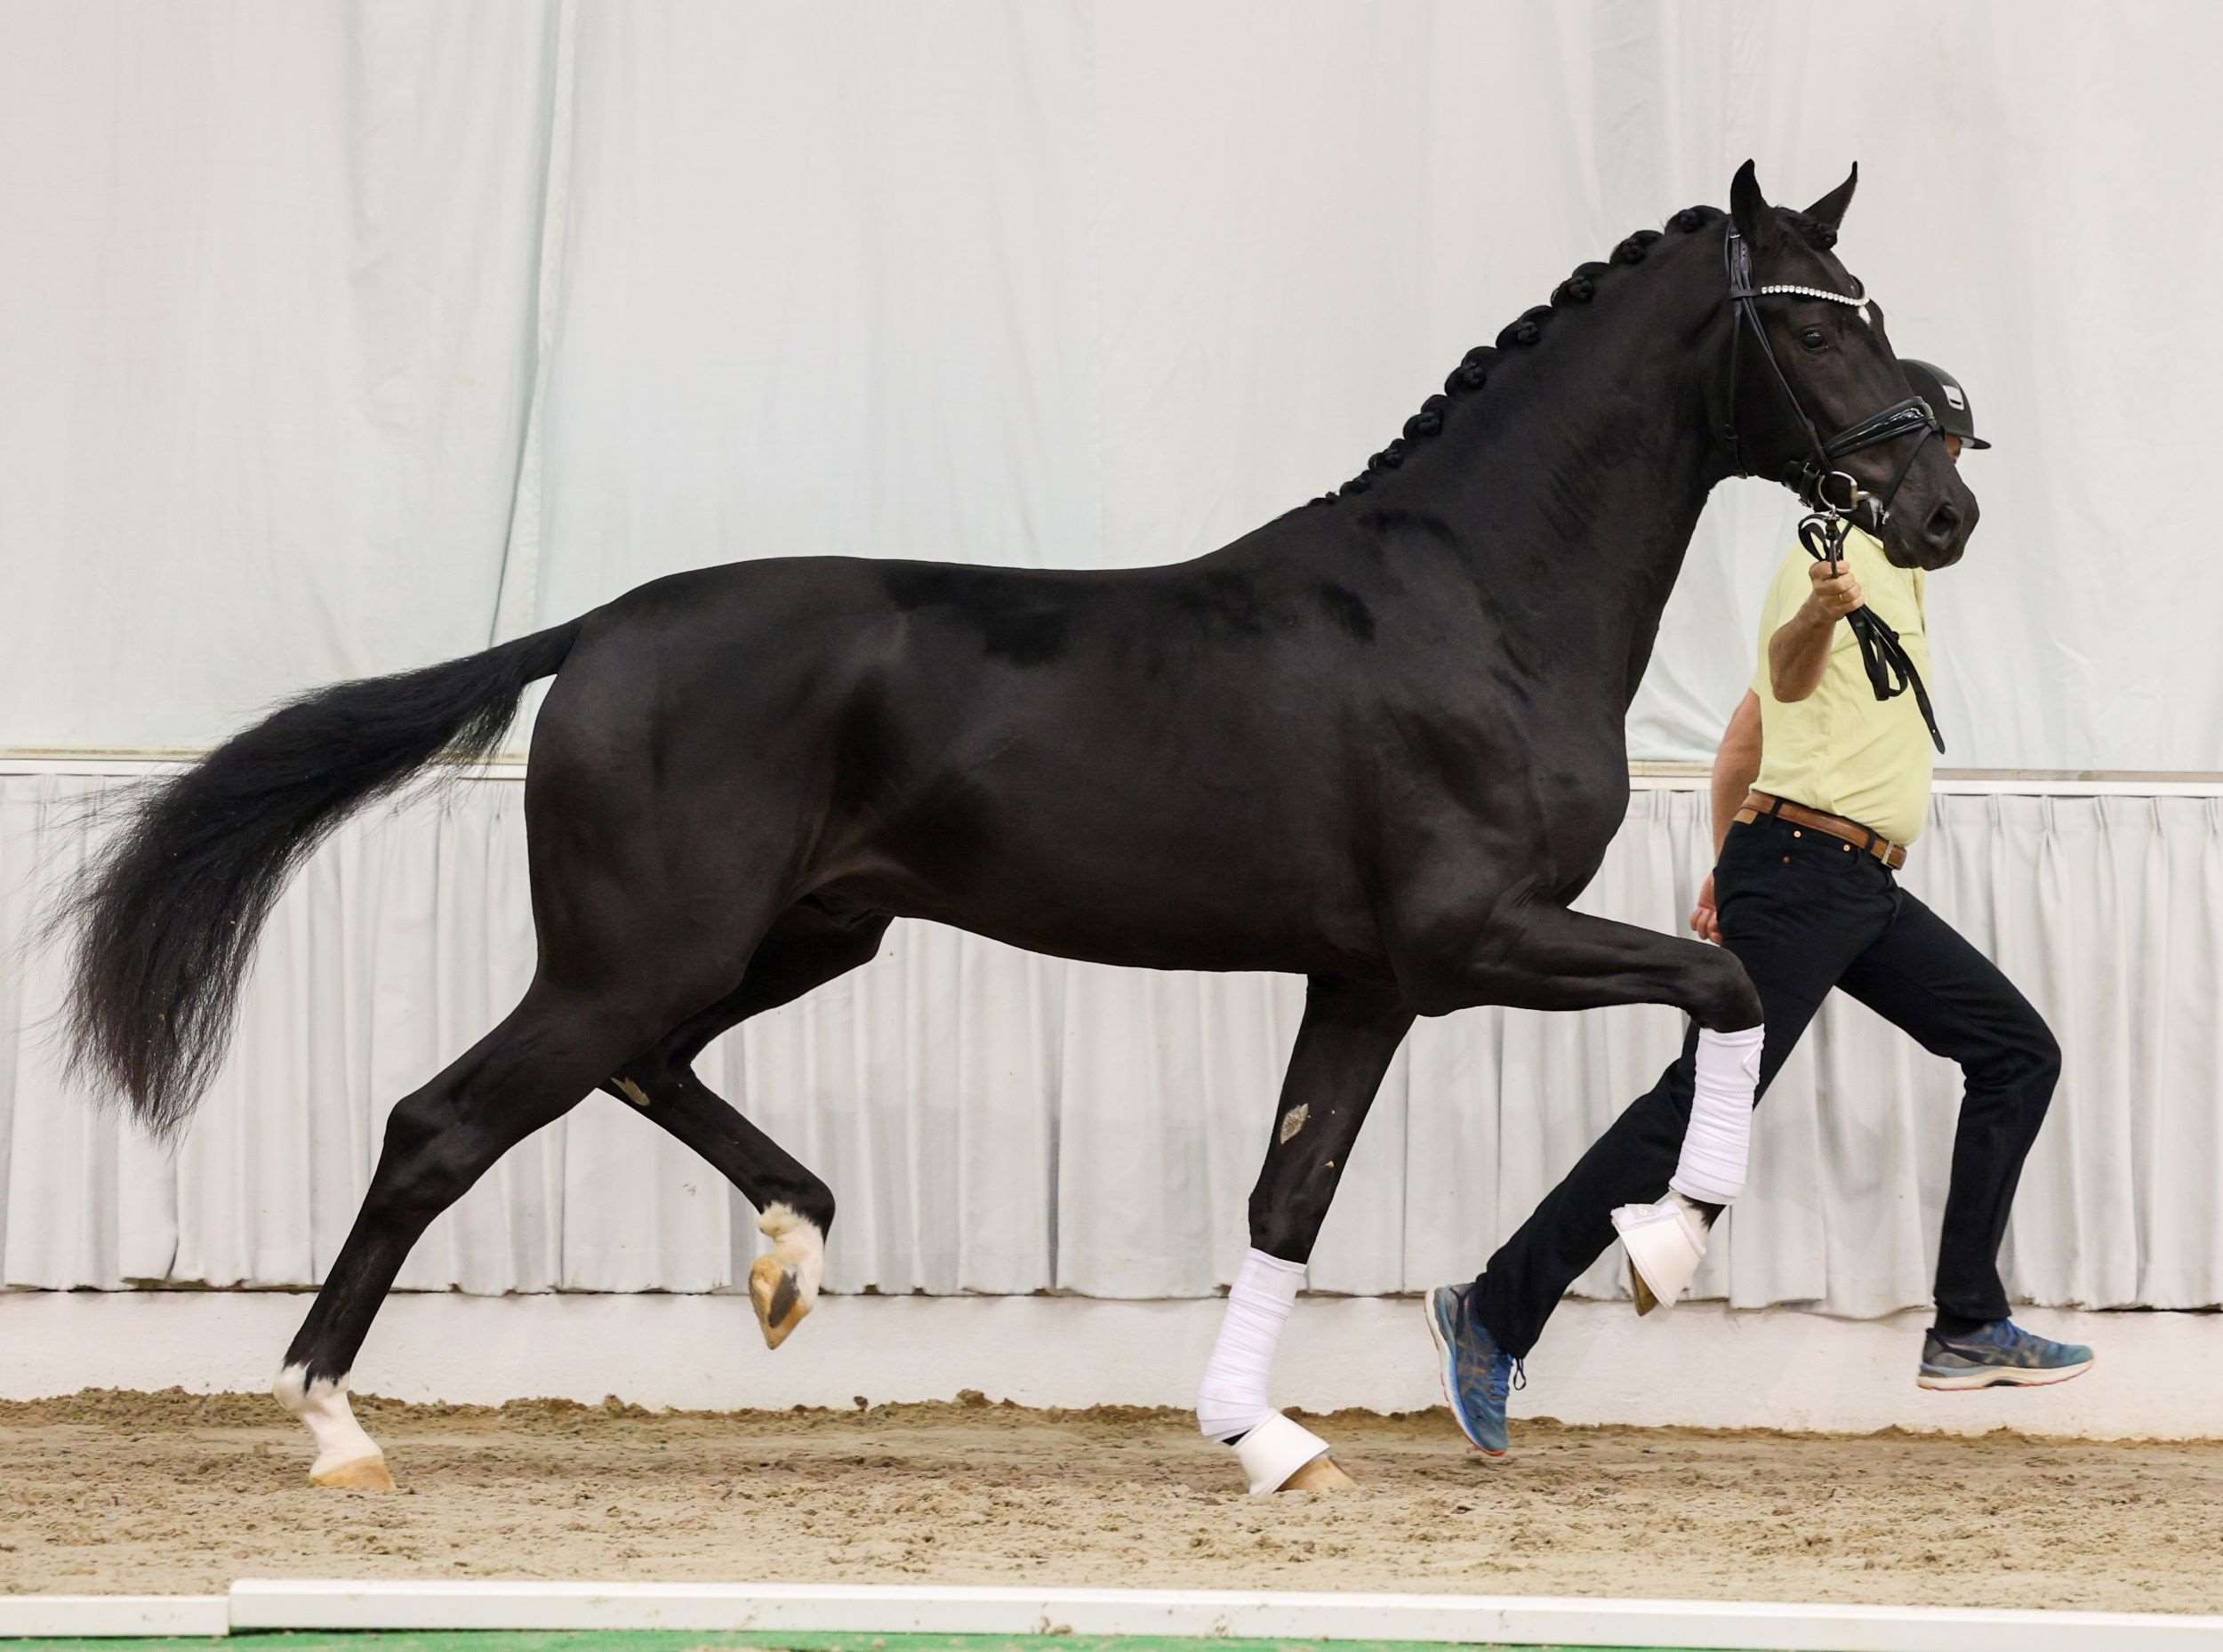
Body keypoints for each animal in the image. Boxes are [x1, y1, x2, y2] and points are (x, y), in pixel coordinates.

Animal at [54, 161, 1974, 1494]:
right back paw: (333, 1424)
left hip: (792, 935)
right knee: (440, 1122)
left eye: (1870, 302)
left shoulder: (1364, 979)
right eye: (1814, 320)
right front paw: (1661, 1248)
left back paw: (792, 1253)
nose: (1939, 500)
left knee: (640, 1071)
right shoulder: (1469, 939)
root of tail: (594, 632)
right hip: (642, 949)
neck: (1470, 601)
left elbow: (1292, 1191)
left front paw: (1265, 1438)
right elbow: (1727, 988)